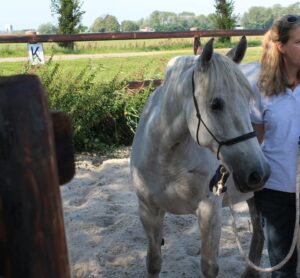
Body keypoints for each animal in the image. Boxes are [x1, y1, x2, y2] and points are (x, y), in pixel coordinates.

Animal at [130, 37, 270, 278]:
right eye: (215, 104)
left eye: (248, 100)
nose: (257, 173)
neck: (167, 160)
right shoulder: (148, 212)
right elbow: (154, 262)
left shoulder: (209, 211)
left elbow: (209, 267)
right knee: (259, 235)